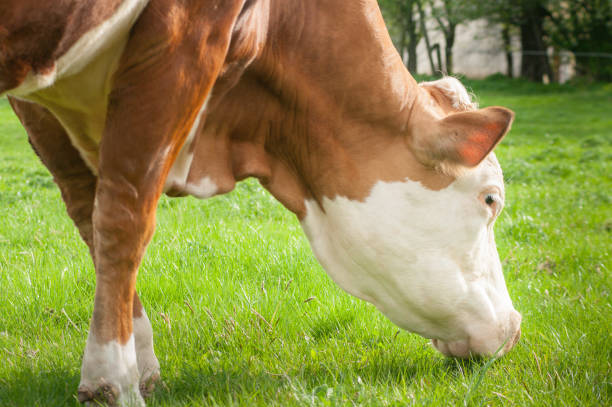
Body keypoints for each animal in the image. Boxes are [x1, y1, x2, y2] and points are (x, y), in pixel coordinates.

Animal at [0, 0, 520, 406]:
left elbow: (89, 213)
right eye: (490, 199)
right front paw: (113, 378)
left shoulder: (43, 104)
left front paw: (141, 362)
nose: (513, 327)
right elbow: (125, 217)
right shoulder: (182, 41)